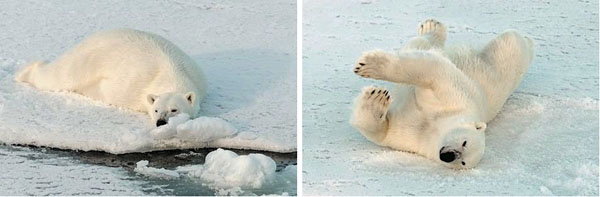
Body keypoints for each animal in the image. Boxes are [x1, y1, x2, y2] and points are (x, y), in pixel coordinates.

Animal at [14, 28, 206, 127]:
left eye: (174, 109)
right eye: (156, 109)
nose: (160, 122)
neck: (171, 70)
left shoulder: (198, 77)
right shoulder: (131, 85)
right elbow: (108, 90)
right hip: (83, 59)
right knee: (58, 75)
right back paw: (24, 73)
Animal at [352, 18, 536, 169]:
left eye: (463, 163)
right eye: (464, 142)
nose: (448, 155)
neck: (434, 127)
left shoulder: (414, 139)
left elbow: (385, 131)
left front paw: (375, 99)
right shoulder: (456, 98)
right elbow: (433, 71)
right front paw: (371, 66)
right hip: (501, 66)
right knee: (513, 42)